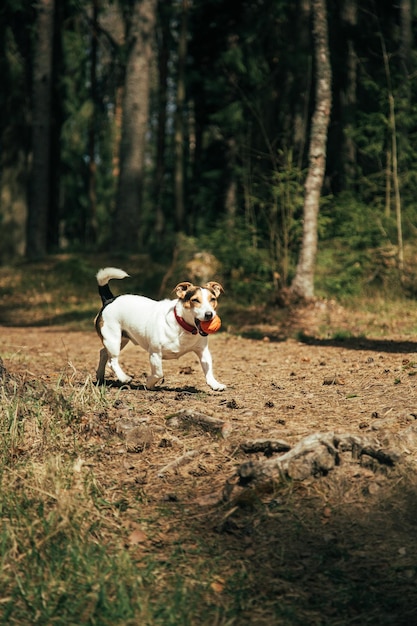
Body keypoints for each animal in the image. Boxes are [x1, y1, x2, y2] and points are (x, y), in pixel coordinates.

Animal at [94, 266, 226, 390]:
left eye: (213, 299)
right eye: (195, 300)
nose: (209, 314)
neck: (182, 326)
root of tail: (109, 299)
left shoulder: (203, 351)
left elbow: (208, 369)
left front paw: (215, 384)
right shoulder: (155, 353)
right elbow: (159, 373)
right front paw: (149, 383)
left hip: (122, 339)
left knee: (103, 353)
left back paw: (100, 376)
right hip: (113, 339)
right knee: (112, 361)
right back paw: (124, 378)